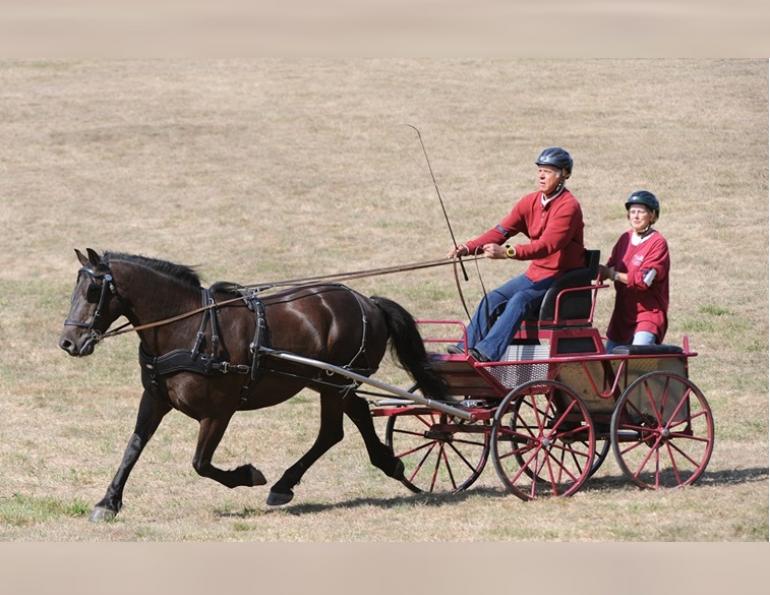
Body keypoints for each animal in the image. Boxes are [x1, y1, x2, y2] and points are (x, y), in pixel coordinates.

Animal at [58, 248, 447, 521]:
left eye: (93, 290)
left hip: (336, 380)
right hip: (330, 381)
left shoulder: (219, 411)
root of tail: (369, 302)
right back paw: (384, 464)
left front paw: (248, 475)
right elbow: (133, 447)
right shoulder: (154, 399)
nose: (68, 342)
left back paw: (284, 485)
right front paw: (108, 502)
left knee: (333, 430)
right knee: (351, 419)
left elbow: (201, 463)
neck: (189, 327)